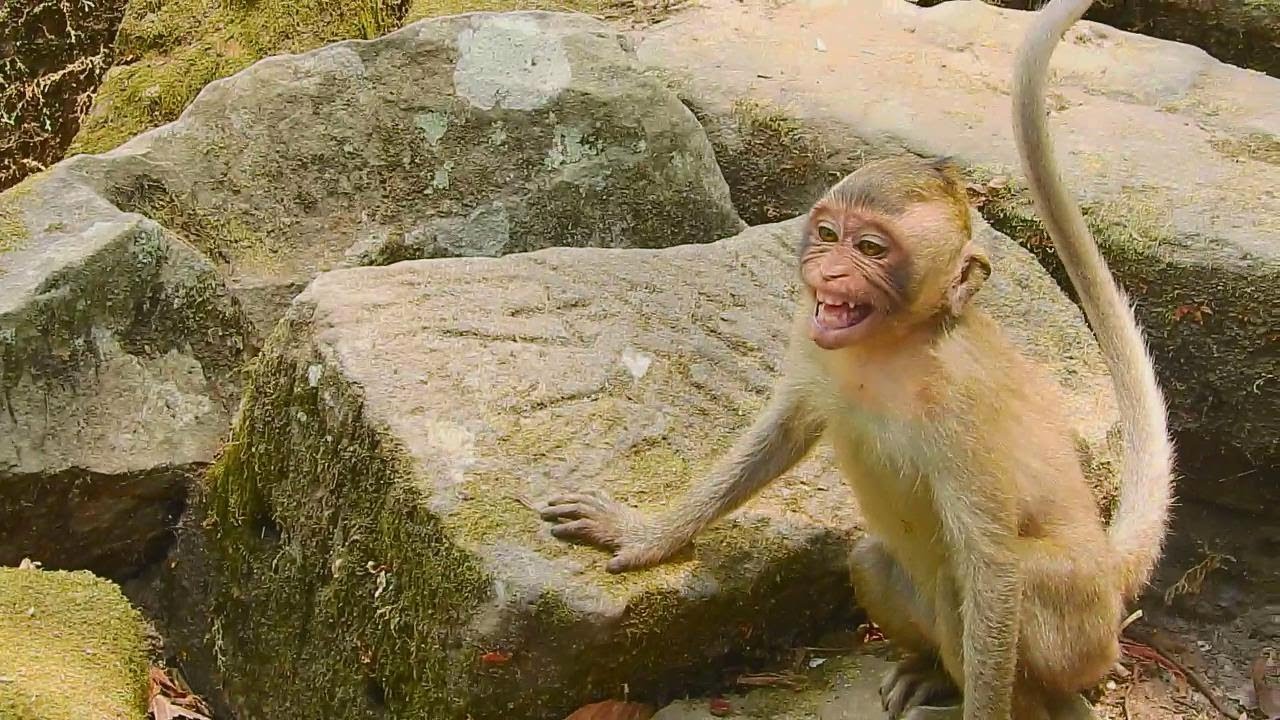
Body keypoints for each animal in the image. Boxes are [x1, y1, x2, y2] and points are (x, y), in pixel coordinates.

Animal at [536, 0, 1174, 716]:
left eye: (870, 248)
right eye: (827, 233)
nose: (831, 271)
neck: (889, 348)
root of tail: (1109, 573)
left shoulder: (965, 408)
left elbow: (992, 565)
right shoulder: (809, 340)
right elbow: (781, 432)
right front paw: (644, 534)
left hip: (1077, 629)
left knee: (974, 591)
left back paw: (1041, 702)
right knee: (870, 560)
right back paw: (928, 669)